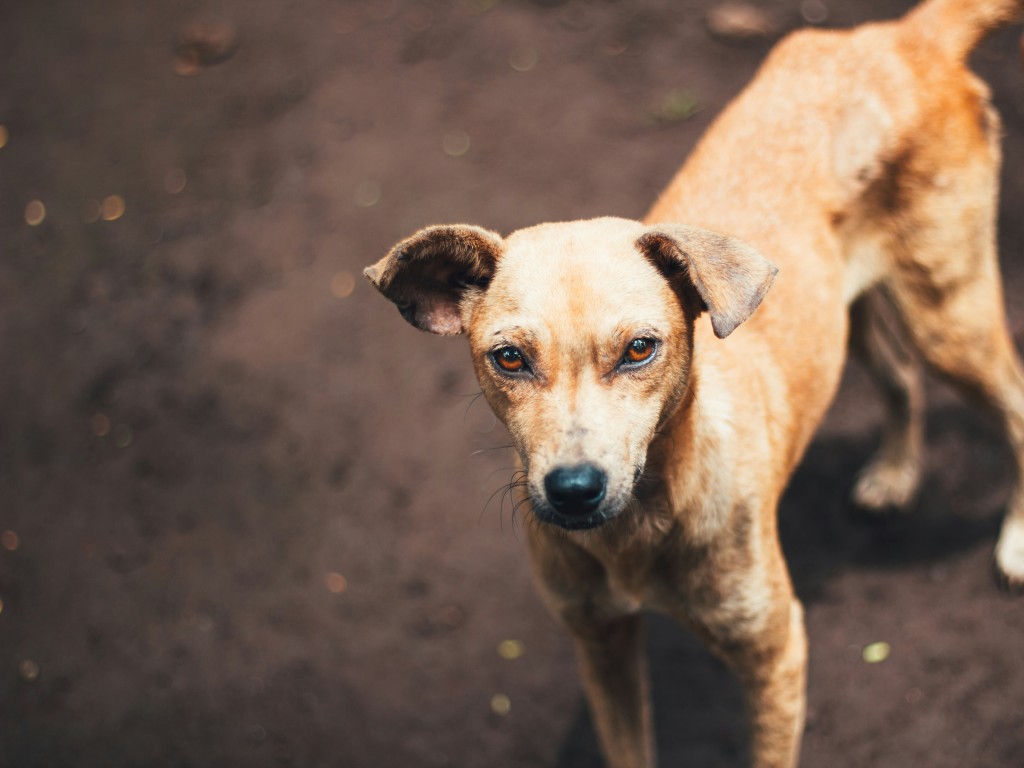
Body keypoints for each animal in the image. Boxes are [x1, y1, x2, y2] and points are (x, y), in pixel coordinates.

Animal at [364, 3, 1024, 765]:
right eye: (508, 358)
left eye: (640, 349)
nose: (574, 488)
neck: (643, 525)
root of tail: (901, 35)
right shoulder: (601, 644)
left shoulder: (775, 652)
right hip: (848, 312)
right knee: (900, 375)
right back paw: (895, 472)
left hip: (948, 313)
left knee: (1013, 403)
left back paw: (1014, 541)